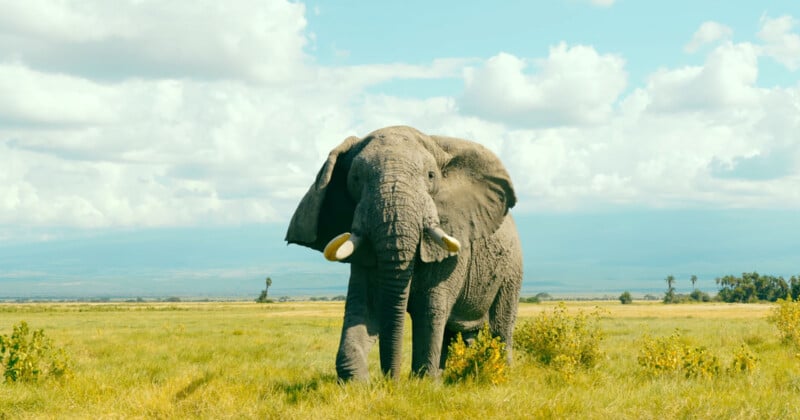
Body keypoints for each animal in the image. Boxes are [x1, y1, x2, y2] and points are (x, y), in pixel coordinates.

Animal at [285, 125, 522, 381]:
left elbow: (430, 309)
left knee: (500, 326)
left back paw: (501, 375)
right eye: (355, 179)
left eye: (431, 176)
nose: (392, 380)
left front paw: (422, 384)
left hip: (512, 270)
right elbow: (366, 306)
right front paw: (357, 383)